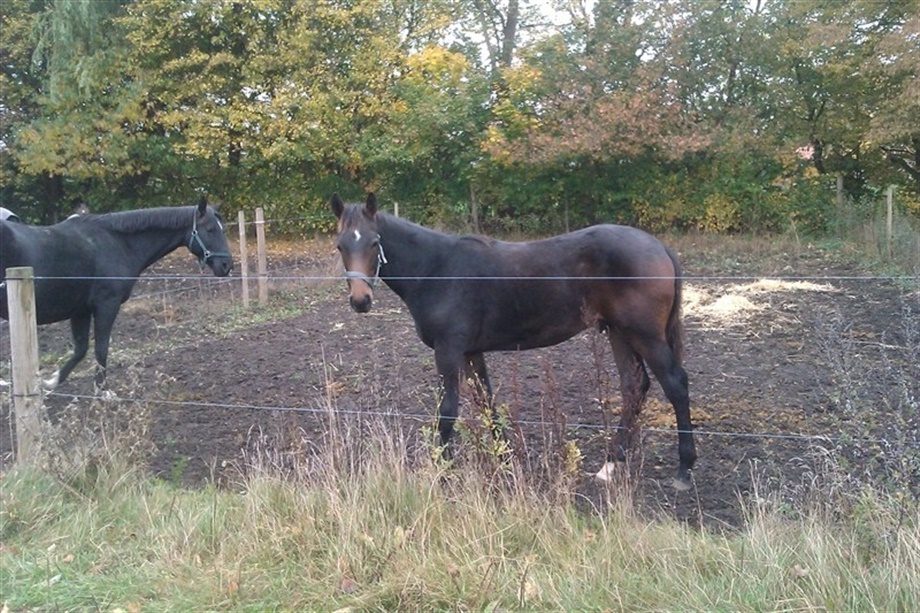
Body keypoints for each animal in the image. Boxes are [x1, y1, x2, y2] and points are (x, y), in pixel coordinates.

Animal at [0, 197, 233, 391]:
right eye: (210, 229)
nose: (226, 265)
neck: (115, 242)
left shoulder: (81, 311)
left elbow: (80, 349)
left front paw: (51, 382)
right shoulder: (107, 305)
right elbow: (101, 349)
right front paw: (103, 391)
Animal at [330, 193, 696, 490]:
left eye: (374, 242)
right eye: (340, 245)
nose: (360, 301)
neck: (436, 269)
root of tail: (658, 246)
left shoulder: (448, 351)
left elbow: (447, 411)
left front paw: (443, 470)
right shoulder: (471, 352)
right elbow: (487, 403)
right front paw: (504, 459)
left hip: (644, 335)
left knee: (675, 384)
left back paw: (684, 469)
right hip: (619, 332)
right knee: (634, 386)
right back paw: (612, 463)